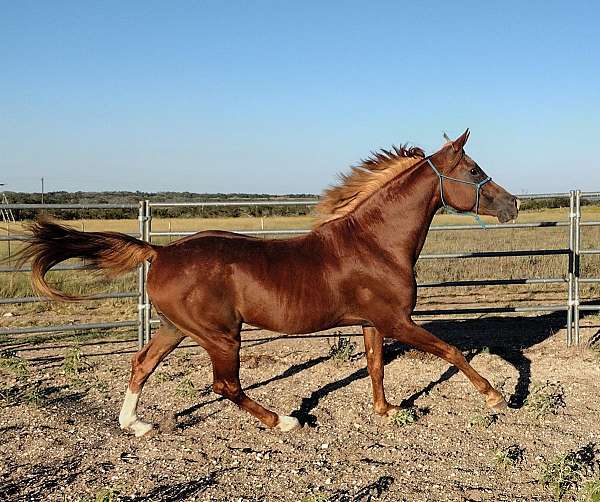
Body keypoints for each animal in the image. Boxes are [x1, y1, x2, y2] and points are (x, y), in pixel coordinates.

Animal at [19, 129, 520, 436]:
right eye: (474, 171)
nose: (513, 204)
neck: (375, 243)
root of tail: (161, 251)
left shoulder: (372, 322)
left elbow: (376, 366)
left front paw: (388, 410)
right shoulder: (397, 320)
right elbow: (451, 351)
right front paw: (497, 397)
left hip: (176, 327)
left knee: (143, 363)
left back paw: (135, 424)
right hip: (222, 335)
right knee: (225, 386)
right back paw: (284, 422)